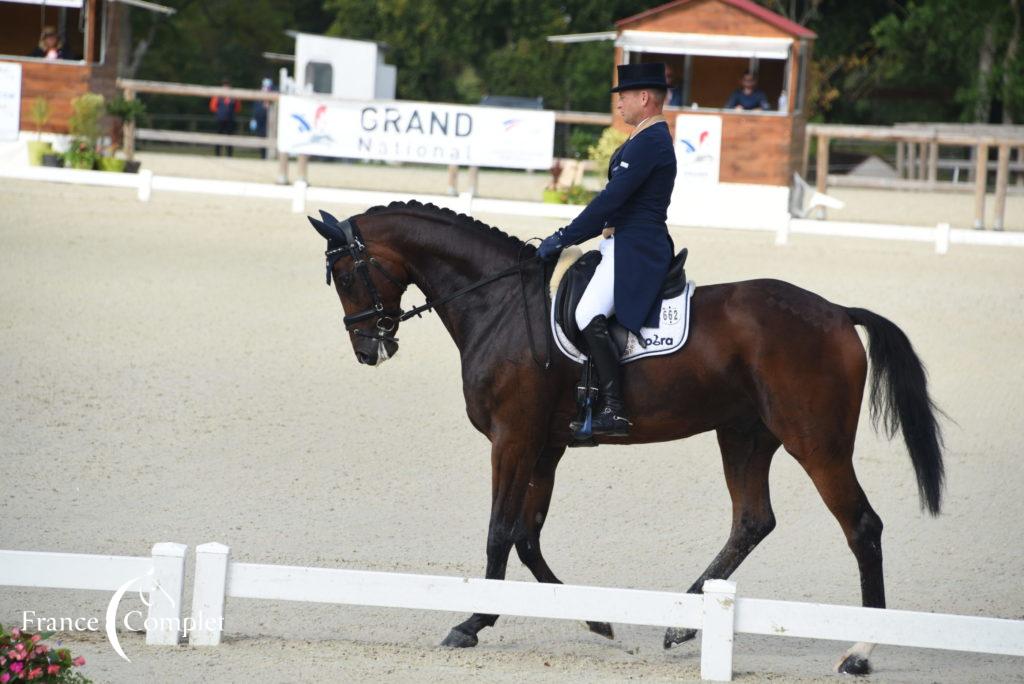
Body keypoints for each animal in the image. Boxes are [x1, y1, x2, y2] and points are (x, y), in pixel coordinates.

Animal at [307, 200, 946, 675]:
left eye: (347, 274)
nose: (368, 349)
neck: (498, 305)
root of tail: (837, 311)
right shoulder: (546, 445)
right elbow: (526, 536)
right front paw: (595, 618)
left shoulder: (512, 439)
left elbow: (498, 533)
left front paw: (472, 623)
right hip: (744, 434)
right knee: (752, 520)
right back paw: (682, 624)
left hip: (816, 443)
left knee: (861, 527)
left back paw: (860, 652)